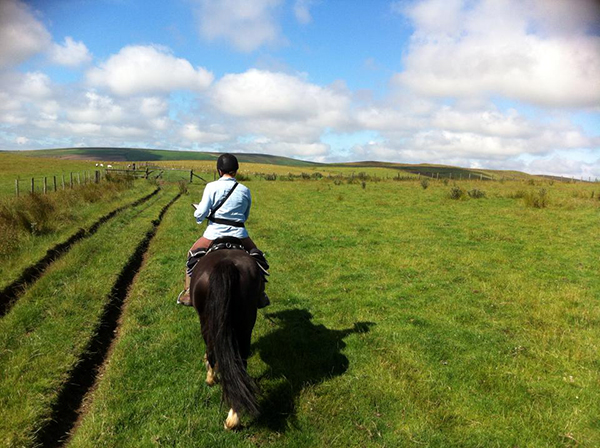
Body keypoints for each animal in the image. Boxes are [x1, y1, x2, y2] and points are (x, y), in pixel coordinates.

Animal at [189, 242, 262, 430]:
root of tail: (226, 264)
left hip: (206, 321)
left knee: (212, 350)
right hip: (246, 323)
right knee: (240, 362)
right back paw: (234, 415)